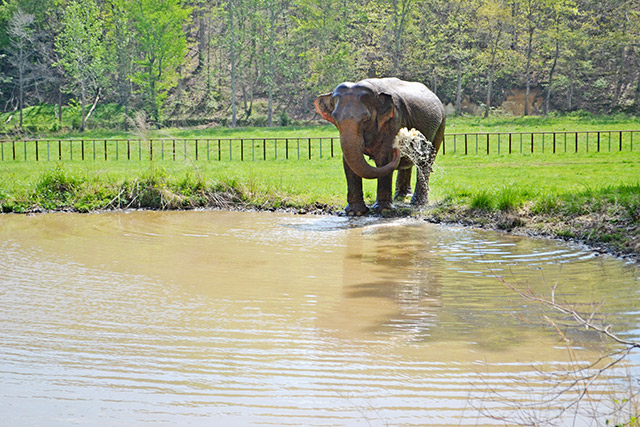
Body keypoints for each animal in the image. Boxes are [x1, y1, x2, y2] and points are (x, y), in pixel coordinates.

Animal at [314, 77, 444, 216]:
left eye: (366, 119)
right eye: (335, 118)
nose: (398, 144)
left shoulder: (394, 119)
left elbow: (384, 157)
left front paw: (383, 210)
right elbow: (348, 162)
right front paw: (355, 212)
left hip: (440, 125)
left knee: (426, 161)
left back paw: (417, 203)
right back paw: (401, 196)